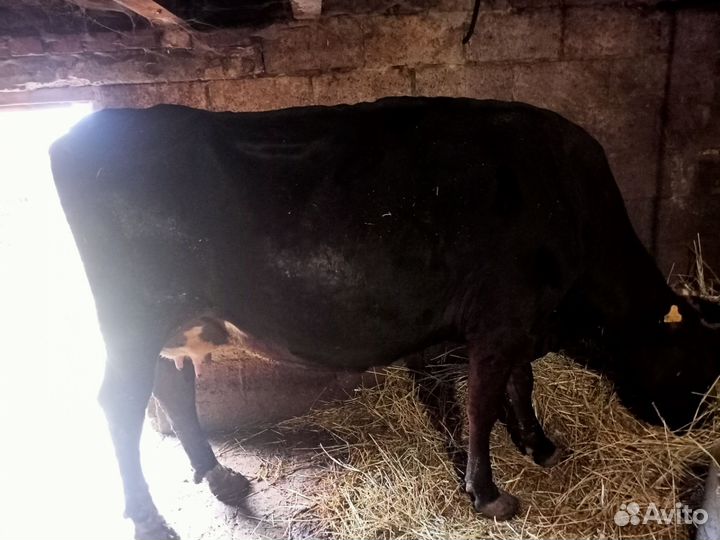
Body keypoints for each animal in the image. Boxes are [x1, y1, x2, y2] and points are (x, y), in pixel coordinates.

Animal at [49, 97, 719, 540]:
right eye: (695, 367)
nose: (691, 428)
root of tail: (83, 132)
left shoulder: (521, 321)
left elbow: (520, 383)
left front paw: (538, 443)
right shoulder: (498, 321)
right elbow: (482, 404)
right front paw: (487, 493)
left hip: (173, 324)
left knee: (173, 387)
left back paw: (217, 476)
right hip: (132, 321)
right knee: (121, 407)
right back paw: (148, 519)